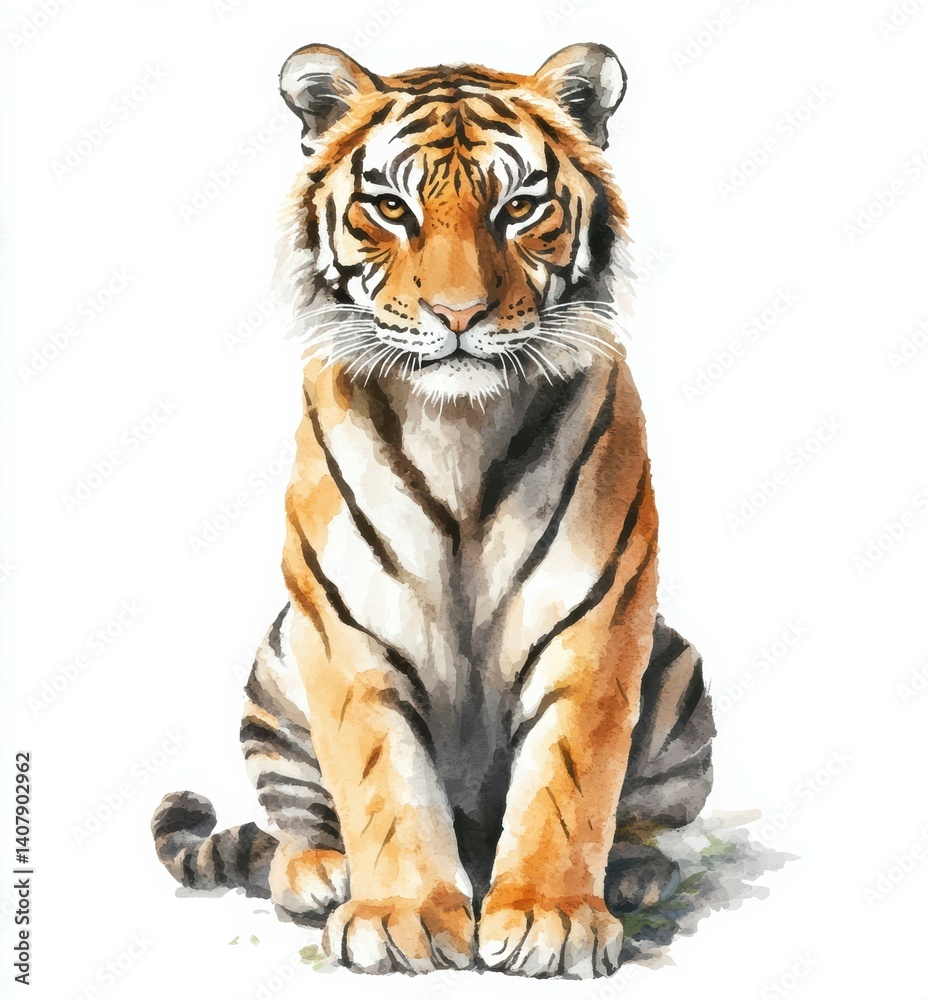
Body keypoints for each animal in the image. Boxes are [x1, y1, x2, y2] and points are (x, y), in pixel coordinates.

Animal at [152, 42, 715, 979]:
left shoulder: (594, 617)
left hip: (676, 667)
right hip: (276, 670)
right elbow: (385, 782)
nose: (458, 314)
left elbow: (569, 780)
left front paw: (552, 917)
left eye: (519, 207)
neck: (460, 427)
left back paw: (631, 872)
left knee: (636, 815)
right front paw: (401, 917)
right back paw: (318, 872)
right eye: (391, 207)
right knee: (298, 815)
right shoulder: (347, 625)